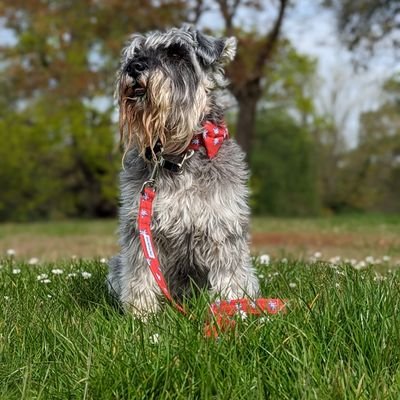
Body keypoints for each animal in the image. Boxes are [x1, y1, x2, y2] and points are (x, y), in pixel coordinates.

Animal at [108, 26, 260, 318]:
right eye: (136, 52)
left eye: (177, 53)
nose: (134, 67)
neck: (179, 156)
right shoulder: (140, 228)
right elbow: (141, 274)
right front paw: (141, 314)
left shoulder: (222, 225)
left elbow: (230, 274)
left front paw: (233, 308)